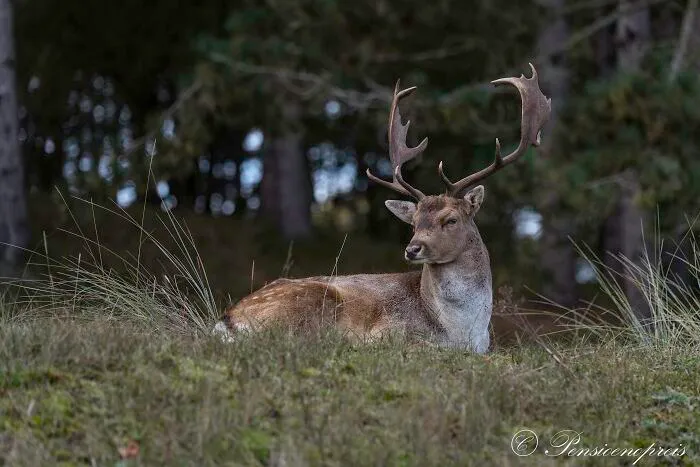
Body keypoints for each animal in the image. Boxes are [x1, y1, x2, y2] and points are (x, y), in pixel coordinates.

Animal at [213, 63, 551, 353]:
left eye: (451, 220)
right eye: (413, 222)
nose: (413, 248)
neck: (461, 331)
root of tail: (227, 320)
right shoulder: (390, 331)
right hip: (312, 302)